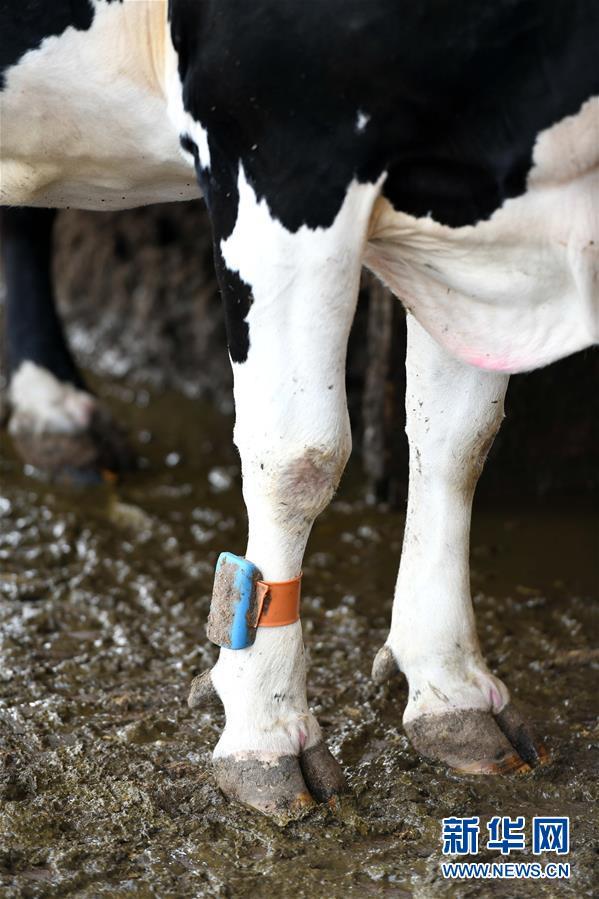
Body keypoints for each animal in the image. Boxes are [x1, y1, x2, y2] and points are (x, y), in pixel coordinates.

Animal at [1, 0, 599, 816]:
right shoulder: (275, 141)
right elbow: (299, 456)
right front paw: (265, 722)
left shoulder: (461, 227)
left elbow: (457, 437)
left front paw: (450, 688)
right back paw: (52, 405)